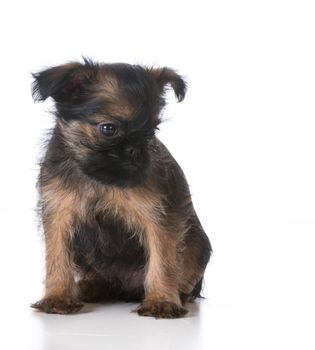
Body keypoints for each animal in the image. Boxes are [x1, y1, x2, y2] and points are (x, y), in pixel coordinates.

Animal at [30, 58, 212, 318]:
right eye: (108, 129)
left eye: (152, 130)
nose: (136, 149)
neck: (99, 178)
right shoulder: (58, 215)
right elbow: (57, 258)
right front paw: (58, 296)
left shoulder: (160, 218)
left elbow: (163, 260)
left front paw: (162, 300)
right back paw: (87, 287)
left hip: (196, 246)